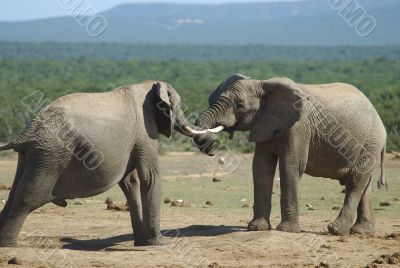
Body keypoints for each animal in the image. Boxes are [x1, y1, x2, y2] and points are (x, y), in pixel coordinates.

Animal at [0, 81, 198, 247]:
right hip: (50, 154)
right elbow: (149, 177)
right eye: (178, 106)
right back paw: (10, 245)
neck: (148, 85)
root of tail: (25, 133)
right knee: (28, 197)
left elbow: (130, 182)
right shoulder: (146, 130)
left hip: (33, 155)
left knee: (14, 193)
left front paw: (142, 242)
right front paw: (158, 243)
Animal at [189, 74, 386, 236]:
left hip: (371, 142)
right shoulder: (264, 123)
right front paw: (256, 228)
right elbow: (261, 166)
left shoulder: (298, 127)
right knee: (363, 182)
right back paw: (362, 231)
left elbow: (290, 165)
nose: (211, 146)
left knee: (356, 180)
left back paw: (336, 230)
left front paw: (286, 230)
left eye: (239, 106)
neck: (263, 84)